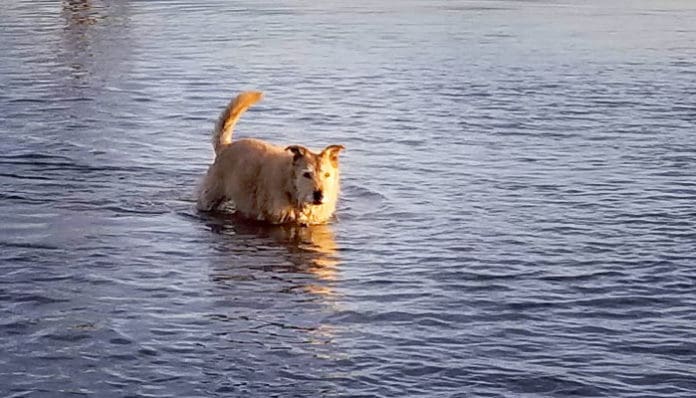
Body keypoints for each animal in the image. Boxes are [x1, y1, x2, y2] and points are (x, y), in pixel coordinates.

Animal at [197, 91, 344, 225]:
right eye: (306, 174)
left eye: (327, 174)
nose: (319, 194)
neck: (292, 189)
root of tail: (226, 146)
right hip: (211, 195)